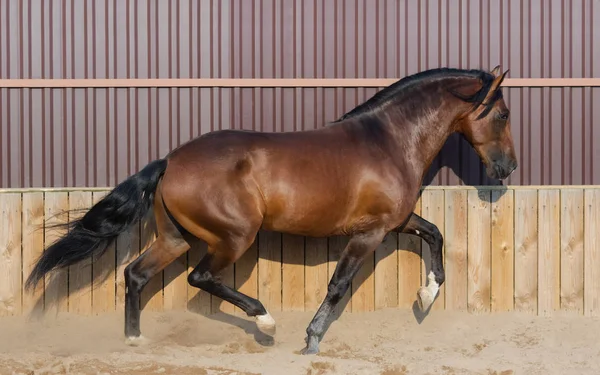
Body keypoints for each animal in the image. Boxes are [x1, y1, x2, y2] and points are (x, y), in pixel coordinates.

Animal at [25, 66, 516, 356]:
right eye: (503, 114)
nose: (509, 167)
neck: (389, 141)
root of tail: (171, 161)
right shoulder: (370, 232)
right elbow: (339, 285)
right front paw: (311, 340)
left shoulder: (394, 223)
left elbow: (434, 233)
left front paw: (426, 296)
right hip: (235, 236)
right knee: (200, 278)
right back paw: (265, 319)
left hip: (175, 238)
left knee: (136, 274)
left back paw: (135, 339)